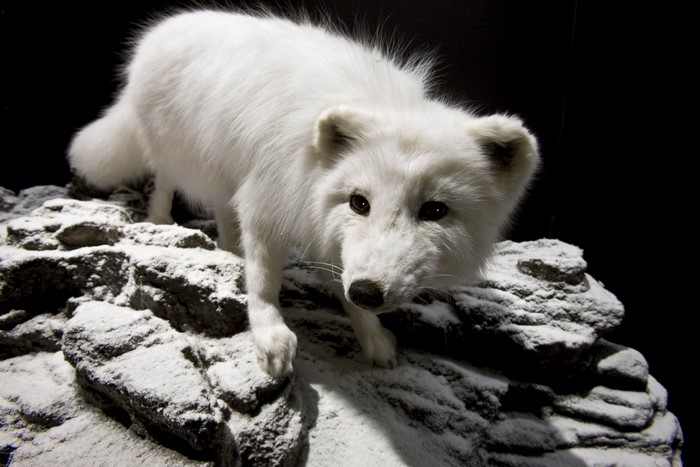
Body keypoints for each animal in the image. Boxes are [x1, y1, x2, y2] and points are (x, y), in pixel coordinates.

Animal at [68, 9, 539, 377]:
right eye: (359, 202)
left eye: (435, 210)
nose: (368, 292)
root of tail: (159, 32)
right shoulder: (266, 198)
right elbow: (264, 280)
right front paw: (270, 335)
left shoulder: (324, 232)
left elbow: (341, 283)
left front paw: (372, 337)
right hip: (178, 150)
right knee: (164, 179)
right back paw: (161, 220)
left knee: (222, 207)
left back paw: (229, 248)